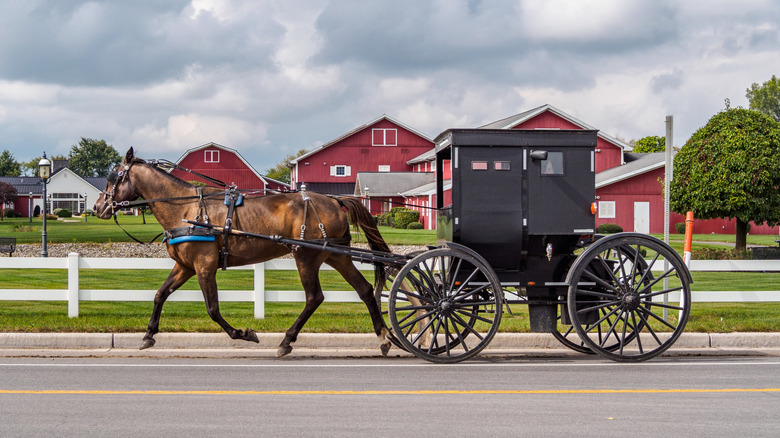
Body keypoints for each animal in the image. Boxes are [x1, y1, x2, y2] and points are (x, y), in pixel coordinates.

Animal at [93, 148, 392, 357]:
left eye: (113, 177)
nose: (97, 207)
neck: (186, 209)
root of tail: (334, 200)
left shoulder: (204, 265)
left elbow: (212, 309)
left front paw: (243, 333)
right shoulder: (185, 266)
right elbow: (160, 294)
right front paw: (148, 335)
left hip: (306, 257)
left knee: (314, 297)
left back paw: (286, 340)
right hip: (336, 254)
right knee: (365, 290)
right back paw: (383, 338)